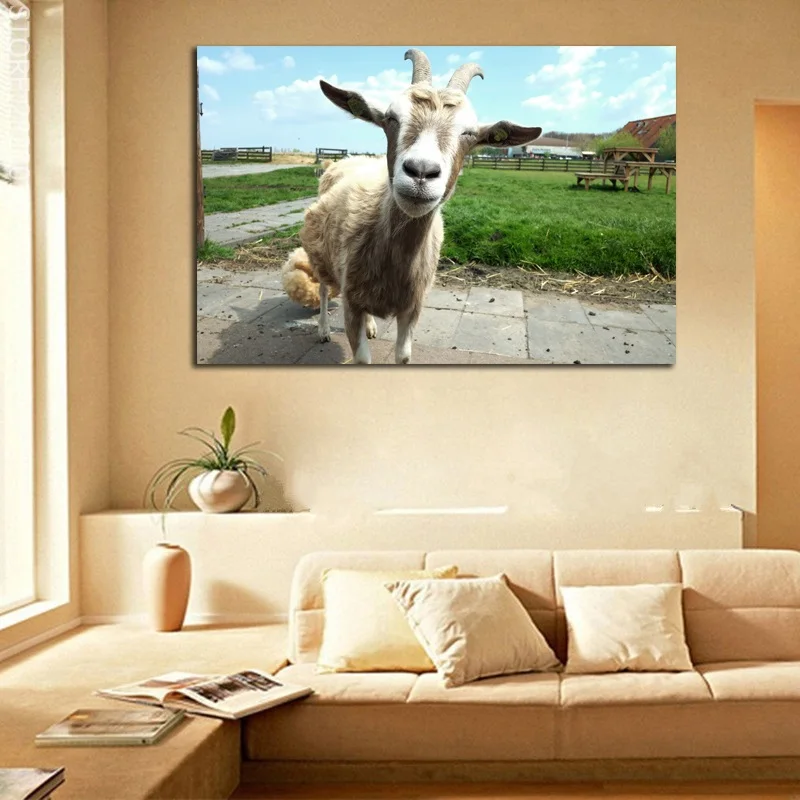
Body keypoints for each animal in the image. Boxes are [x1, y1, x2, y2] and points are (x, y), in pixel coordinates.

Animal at [284, 49, 542, 364]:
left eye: (470, 133)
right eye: (390, 118)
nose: (421, 171)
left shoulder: (411, 307)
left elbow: (404, 356)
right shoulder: (352, 302)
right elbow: (362, 358)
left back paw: (371, 327)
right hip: (322, 254)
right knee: (321, 288)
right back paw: (322, 330)